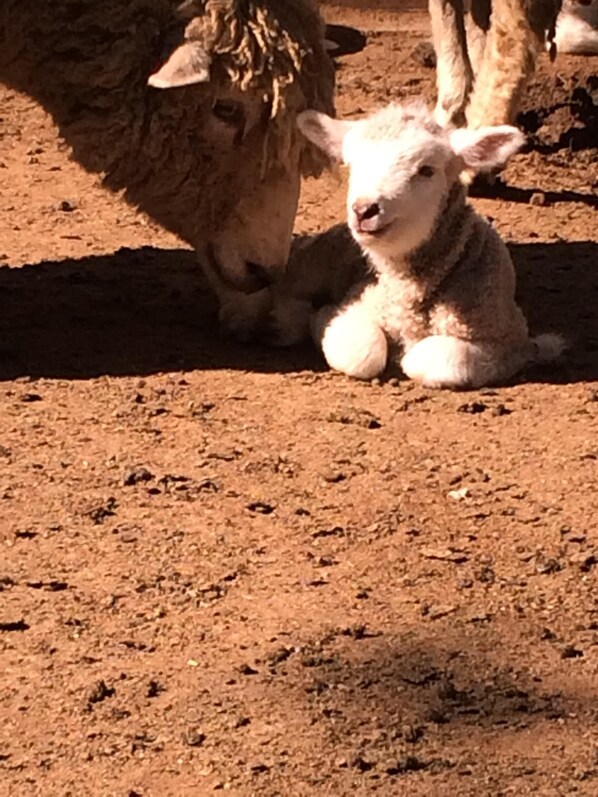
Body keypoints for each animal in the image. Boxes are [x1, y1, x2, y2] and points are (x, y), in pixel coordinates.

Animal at [291, 101, 563, 389]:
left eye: (426, 170)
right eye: (352, 165)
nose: (364, 210)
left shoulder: (511, 339)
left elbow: (426, 358)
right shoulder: (359, 304)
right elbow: (362, 354)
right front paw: (322, 318)